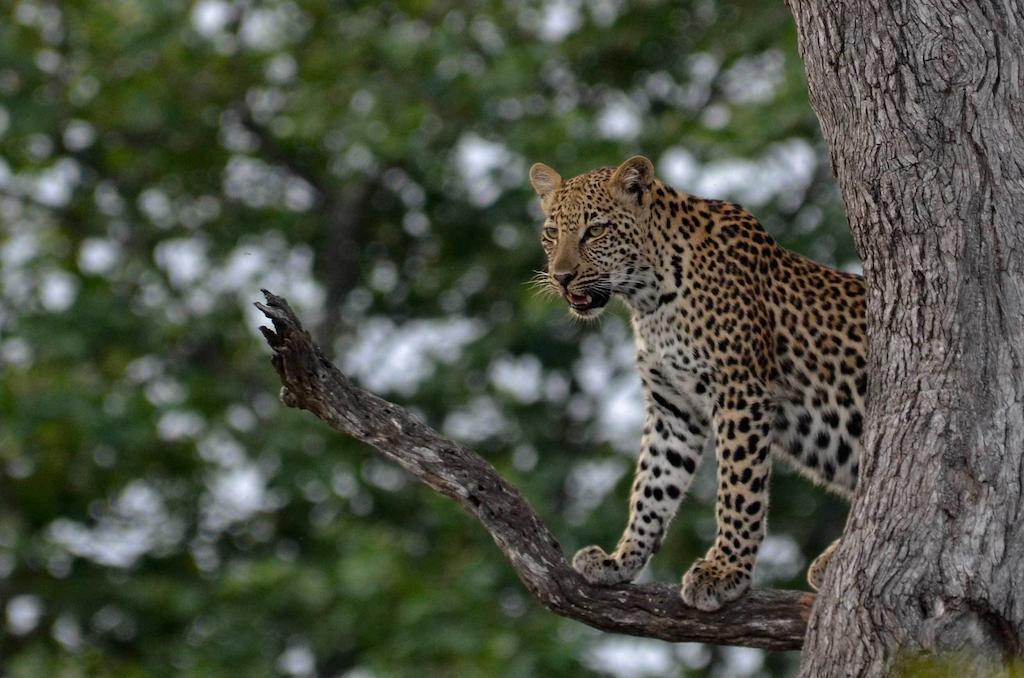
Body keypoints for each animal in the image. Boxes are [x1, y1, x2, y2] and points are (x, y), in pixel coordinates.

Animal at [528, 156, 864, 614]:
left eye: (595, 230)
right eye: (551, 233)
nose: (561, 277)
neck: (650, 297)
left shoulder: (740, 392)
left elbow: (738, 488)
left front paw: (725, 572)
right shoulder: (673, 409)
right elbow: (652, 486)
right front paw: (620, 560)